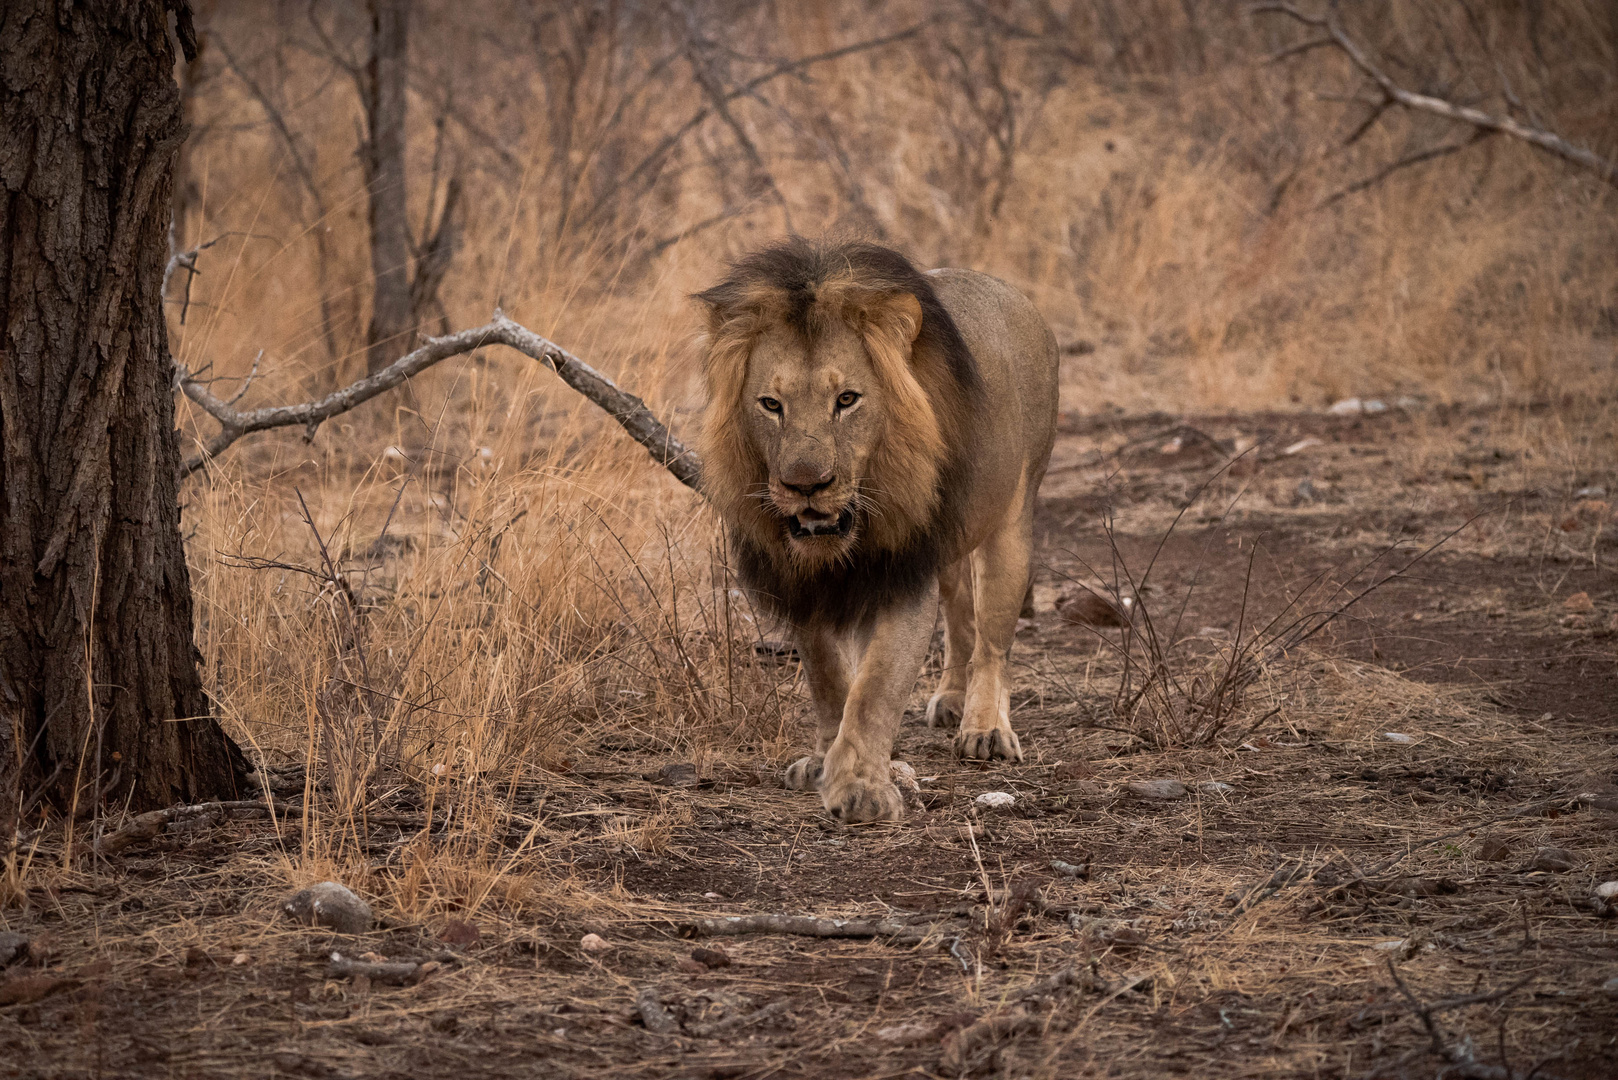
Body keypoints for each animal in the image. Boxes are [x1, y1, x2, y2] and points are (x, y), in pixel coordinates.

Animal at [695, 241, 1061, 822]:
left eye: (847, 400)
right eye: (771, 405)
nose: (806, 485)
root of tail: (1013, 293)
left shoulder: (902, 571)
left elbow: (875, 688)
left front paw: (862, 789)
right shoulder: (807, 585)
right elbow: (829, 679)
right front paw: (824, 761)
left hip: (1012, 525)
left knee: (992, 642)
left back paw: (984, 728)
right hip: (950, 546)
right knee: (961, 614)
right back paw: (951, 698)